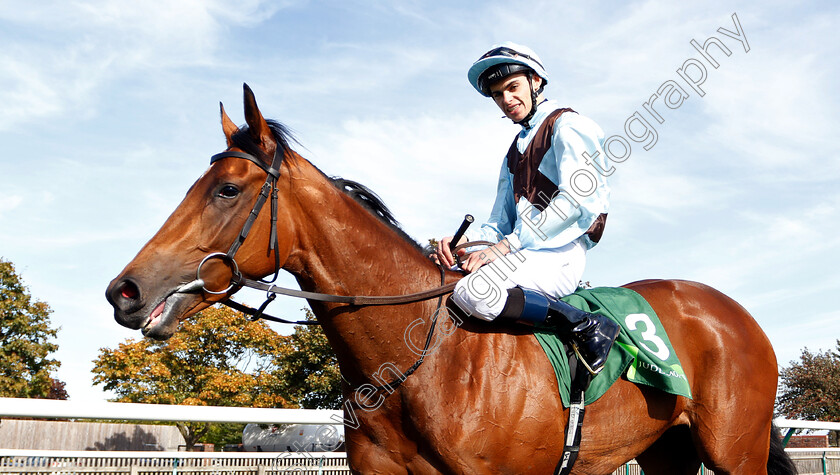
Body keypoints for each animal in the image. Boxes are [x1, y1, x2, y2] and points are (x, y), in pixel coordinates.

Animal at [106, 85, 796, 475]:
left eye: (226, 189)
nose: (124, 291)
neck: (423, 361)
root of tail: (734, 313)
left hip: (734, 451)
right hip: (666, 450)